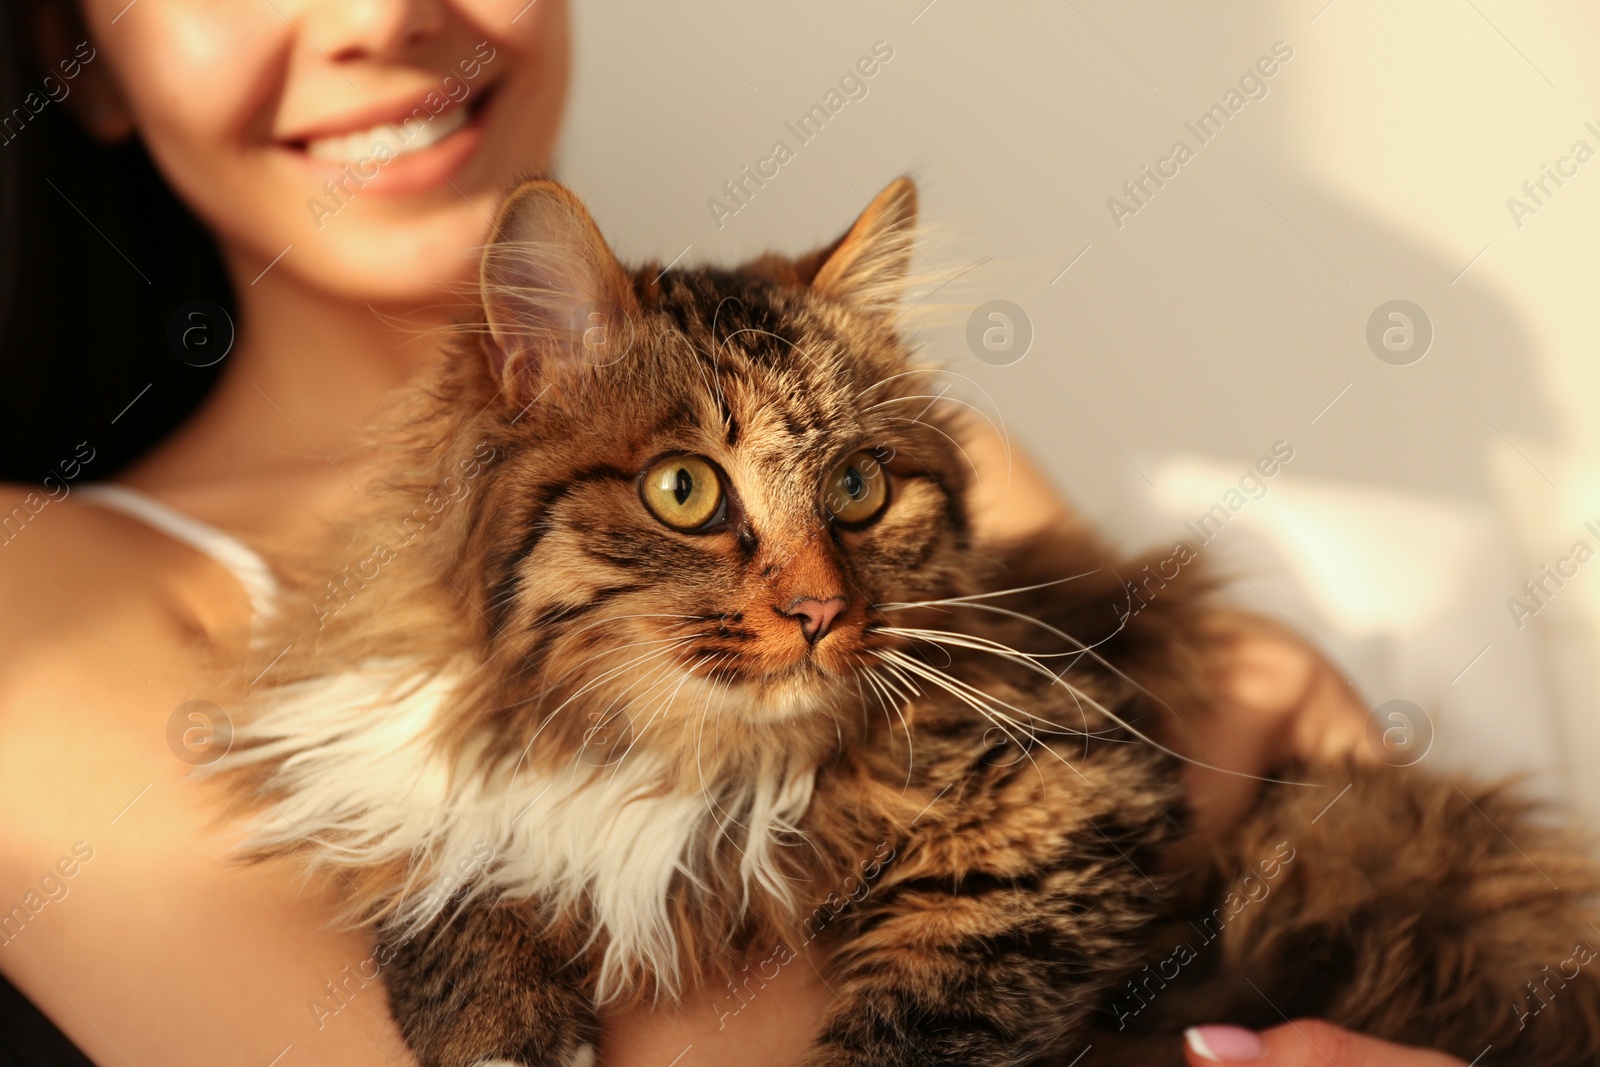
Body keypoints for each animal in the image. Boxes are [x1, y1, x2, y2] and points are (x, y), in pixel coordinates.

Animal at [212, 177, 1600, 1067]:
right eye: (683, 490)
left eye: (857, 488)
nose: (822, 610)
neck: (671, 754)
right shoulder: (389, 754)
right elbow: (441, 871)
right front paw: (504, 1029)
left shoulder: (1057, 801)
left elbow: (920, 1024)